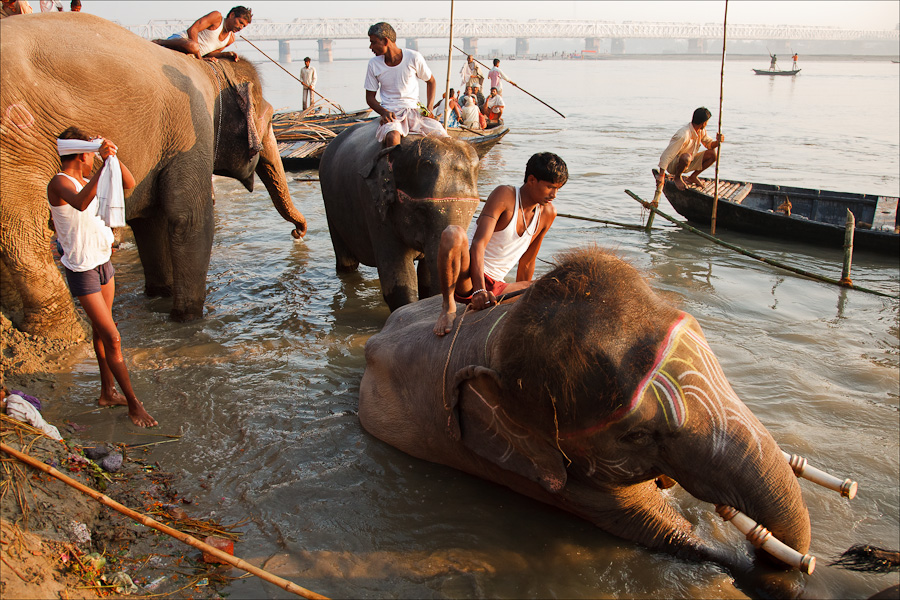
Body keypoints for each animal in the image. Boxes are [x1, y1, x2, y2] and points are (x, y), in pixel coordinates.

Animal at [0, 14, 308, 340]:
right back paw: (67, 334)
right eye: (272, 118)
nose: (298, 233)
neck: (210, 71)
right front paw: (187, 319)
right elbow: (192, 220)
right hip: (19, 146)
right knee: (21, 233)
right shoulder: (194, 128)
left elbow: (151, 221)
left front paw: (160, 294)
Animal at [320, 120, 482, 312]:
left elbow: (426, 278)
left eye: (472, 211)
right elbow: (400, 282)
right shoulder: (375, 209)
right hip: (329, 203)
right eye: (421, 210)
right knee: (346, 263)